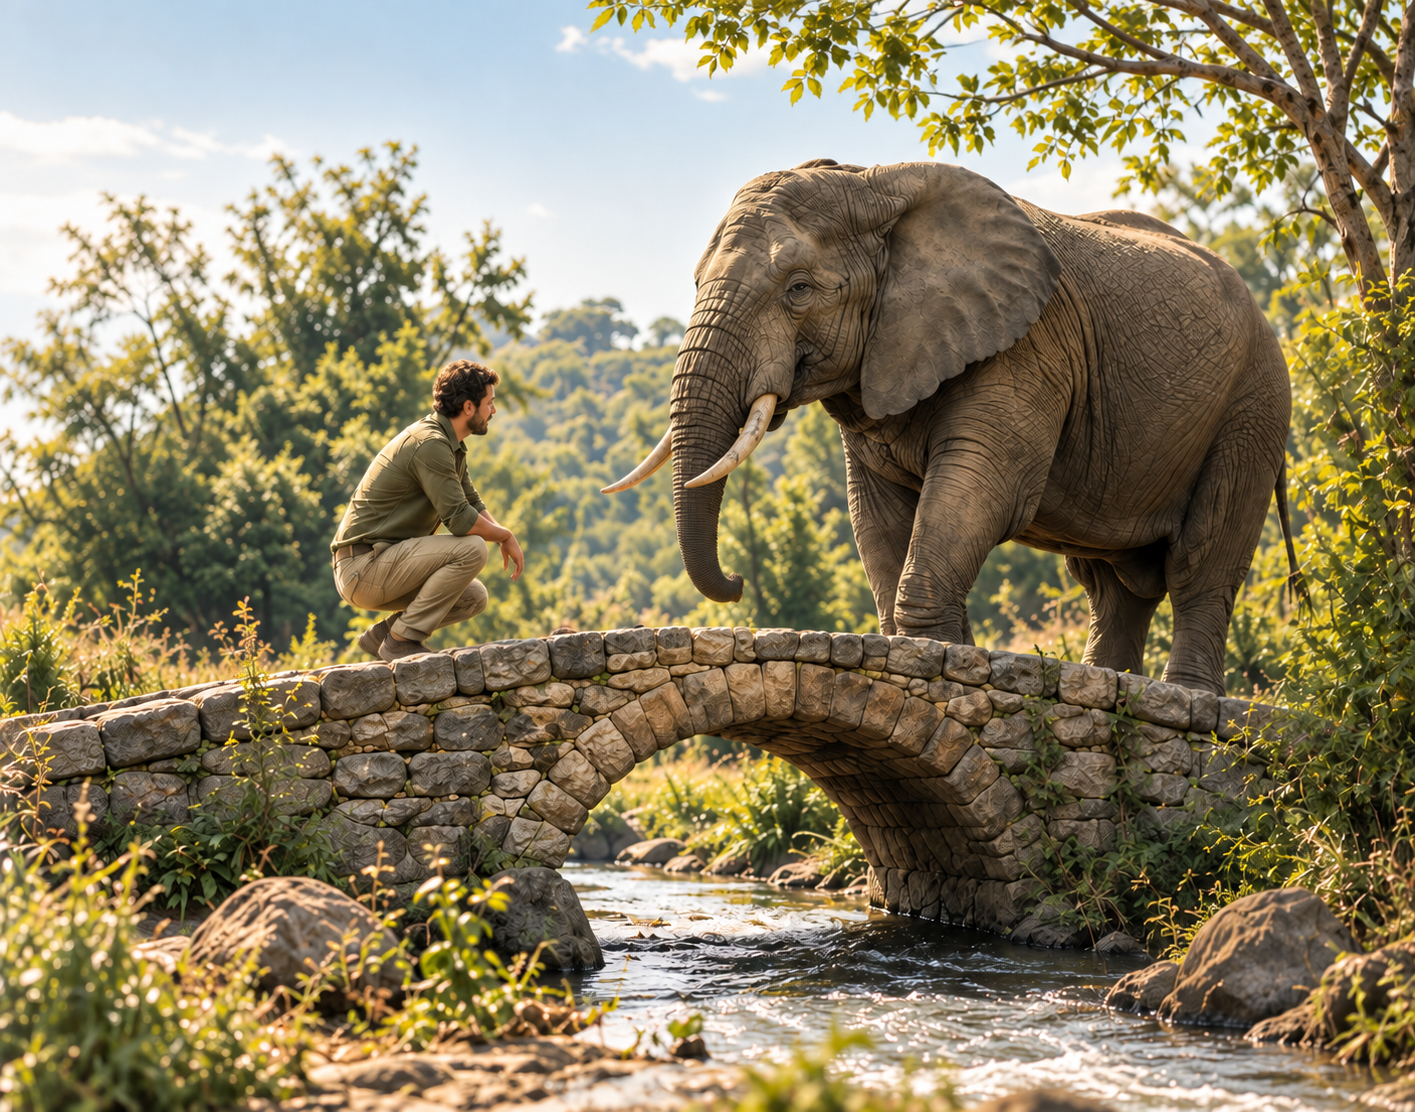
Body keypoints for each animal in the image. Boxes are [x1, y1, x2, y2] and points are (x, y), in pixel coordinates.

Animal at [605, 159, 1296, 695]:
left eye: (799, 289)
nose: (738, 582)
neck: (871, 185)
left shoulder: (1028, 345)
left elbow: (981, 484)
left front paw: (935, 660)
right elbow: (876, 511)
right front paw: (941, 655)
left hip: (1254, 404)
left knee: (1201, 558)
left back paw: (1189, 696)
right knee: (1112, 584)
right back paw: (1114, 682)